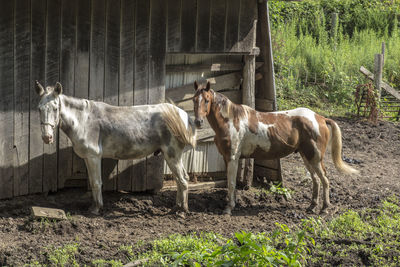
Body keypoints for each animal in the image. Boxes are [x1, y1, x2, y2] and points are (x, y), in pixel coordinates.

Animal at [35, 81, 195, 216]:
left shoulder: (94, 157)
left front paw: (96, 208)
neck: (84, 120)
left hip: (172, 155)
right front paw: (94, 206)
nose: (46, 137)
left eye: (55, 108)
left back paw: (182, 211)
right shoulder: (88, 158)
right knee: (180, 179)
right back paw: (177, 207)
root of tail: (182, 115)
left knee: (182, 180)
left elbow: (96, 182)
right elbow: (93, 182)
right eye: (39, 109)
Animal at [194, 81, 360, 216]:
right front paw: (231, 204)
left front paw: (228, 208)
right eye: (194, 100)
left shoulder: (233, 158)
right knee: (316, 180)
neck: (231, 120)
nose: (198, 122)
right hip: (306, 157)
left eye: (207, 100)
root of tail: (320, 118)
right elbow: (231, 182)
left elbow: (231, 183)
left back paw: (324, 208)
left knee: (324, 179)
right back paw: (312, 206)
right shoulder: (227, 158)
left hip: (315, 158)